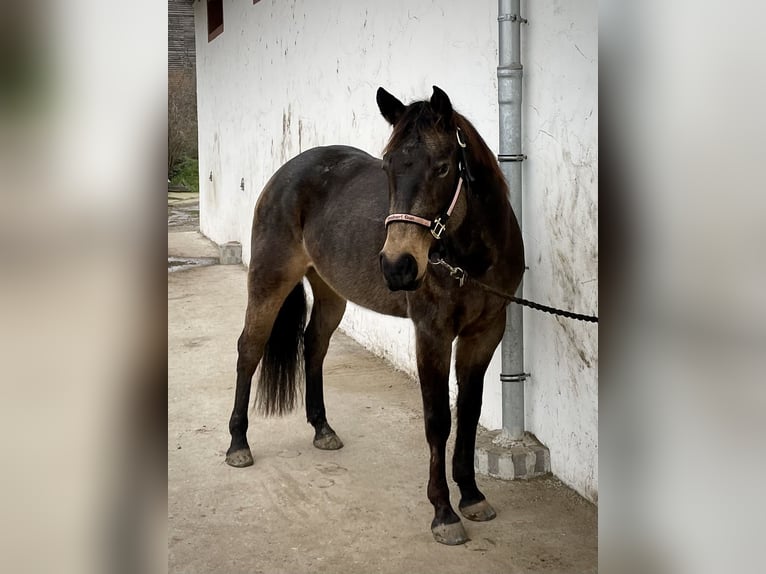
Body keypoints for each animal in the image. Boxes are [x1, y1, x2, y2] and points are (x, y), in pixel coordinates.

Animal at [225, 86, 525, 545]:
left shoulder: (486, 332)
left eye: (443, 167)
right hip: (268, 280)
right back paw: (238, 444)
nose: (397, 266)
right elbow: (438, 420)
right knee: (250, 350)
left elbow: (469, 413)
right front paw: (443, 512)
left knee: (314, 345)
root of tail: (286, 173)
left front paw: (472, 495)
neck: (469, 260)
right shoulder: (432, 334)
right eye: (387, 166)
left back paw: (322, 429)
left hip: (331, 291)